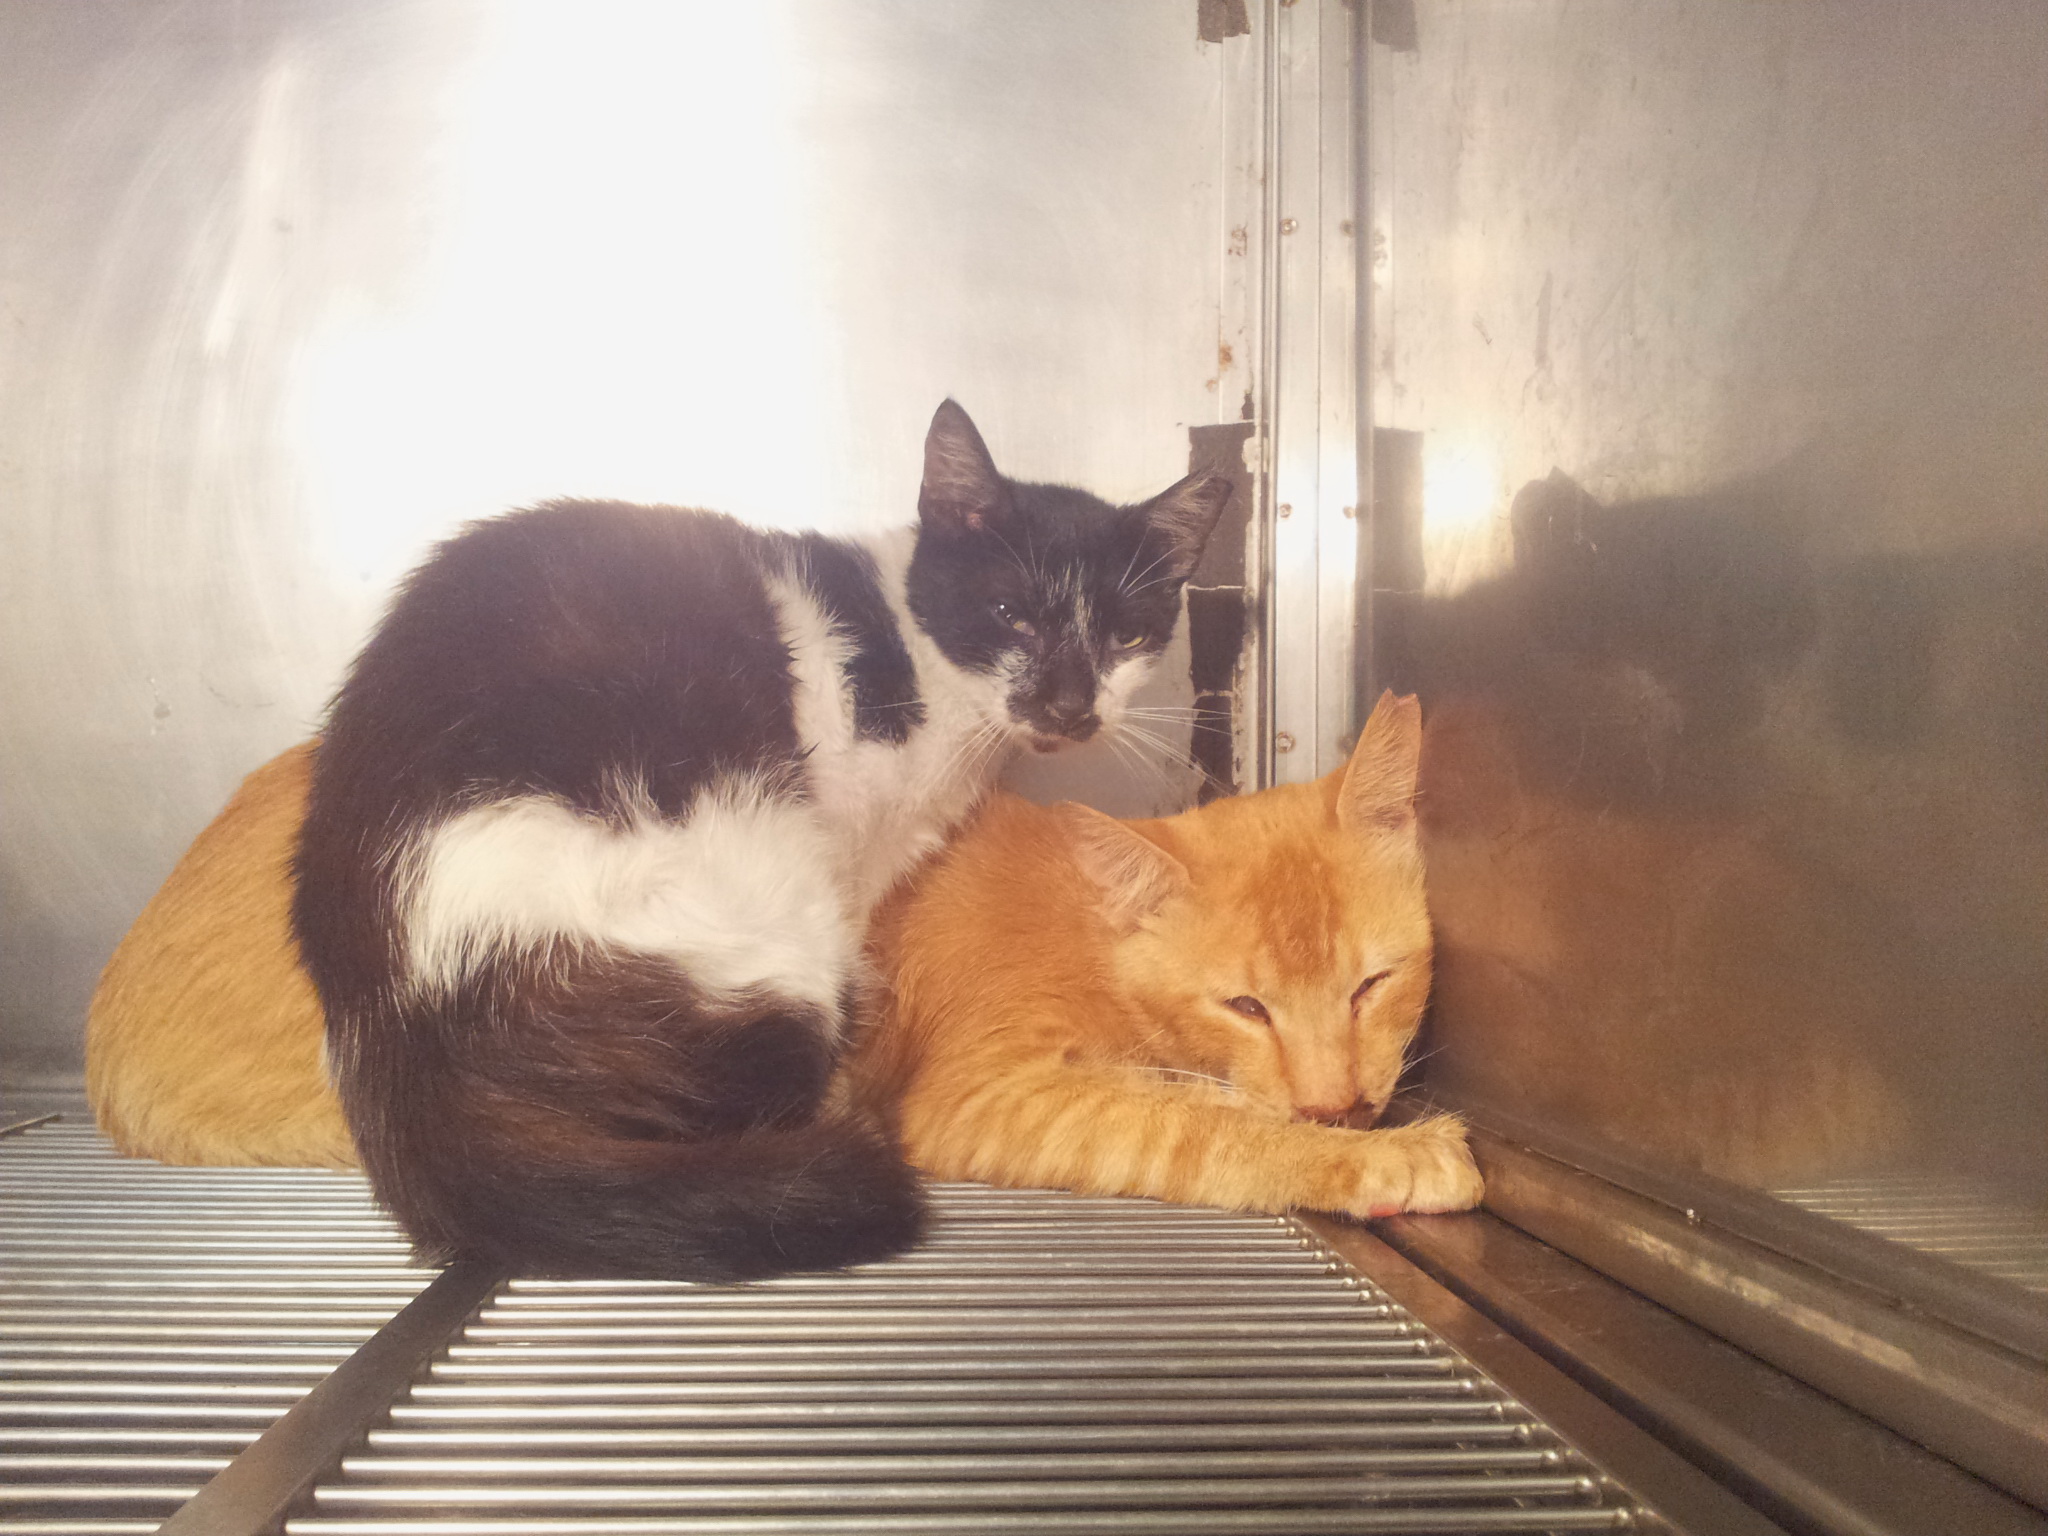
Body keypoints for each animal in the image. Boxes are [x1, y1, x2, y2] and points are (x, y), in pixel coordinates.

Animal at [289, 400, 1229, 1281]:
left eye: (1126, 635)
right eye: (1009, 615)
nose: (1070, 707)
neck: (925, 671)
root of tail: (396, 1038)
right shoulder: (848, 853)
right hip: (756, 904)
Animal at [849, 690, 1485, 1220]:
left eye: (1371, 985)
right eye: (1247, 1008)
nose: (1333, 1110)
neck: (1099, 946)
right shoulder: (982, 1094)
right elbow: (1196, 1123)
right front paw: (1385, 1154)